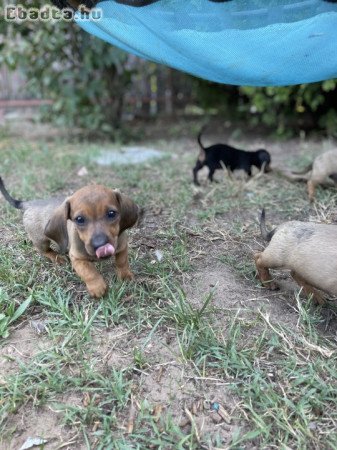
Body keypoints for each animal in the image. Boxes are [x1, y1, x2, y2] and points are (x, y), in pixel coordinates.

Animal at [0, 177, 138, 298]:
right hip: (41, 240)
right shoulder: (77, 258)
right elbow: (89, 272)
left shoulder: (122, 247)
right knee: (44, 251)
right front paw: (97, 287)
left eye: (111, 213)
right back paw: (57, 257)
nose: (100, 245)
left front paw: (125, 276)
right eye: (79, 219)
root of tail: (29, 203)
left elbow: (122, 262)